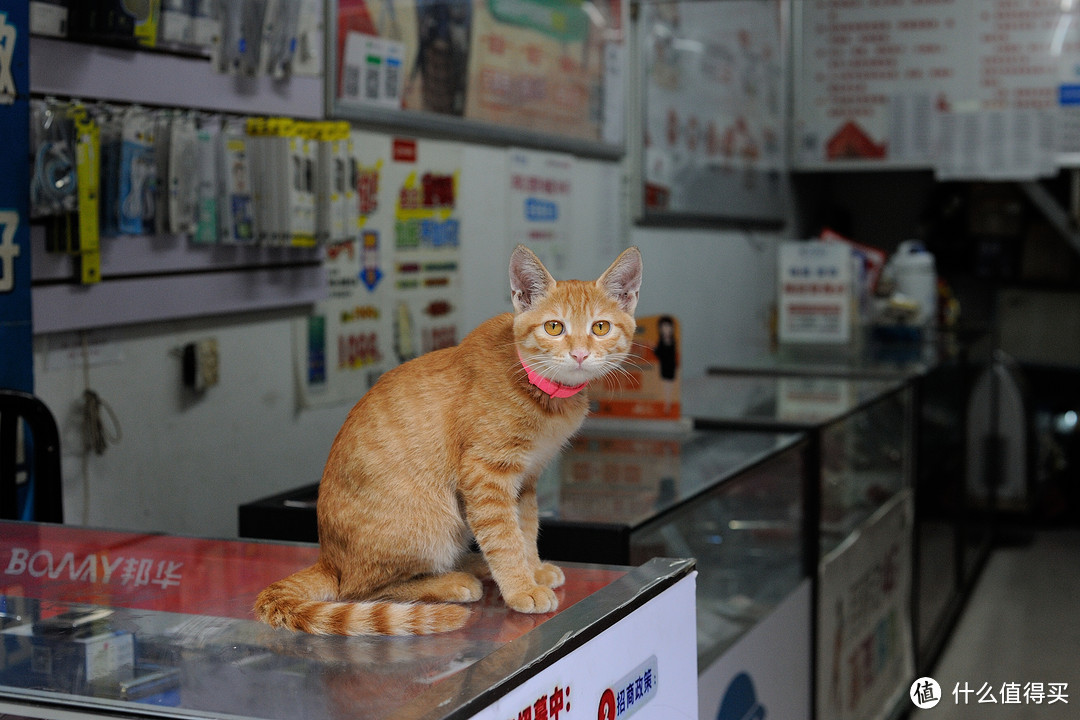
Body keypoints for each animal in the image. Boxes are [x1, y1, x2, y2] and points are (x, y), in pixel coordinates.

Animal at [254, 246, 639, 634]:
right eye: (554, 327)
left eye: (601, 327)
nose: (579, 354)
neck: (543, 393)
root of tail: (328, 560)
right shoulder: (485, 475)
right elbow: (504, 537)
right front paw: (521, 588)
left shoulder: (526, 480)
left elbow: (525, 529)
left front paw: (532, 570)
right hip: (432, 524)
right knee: (363, 589)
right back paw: (452, 581)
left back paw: (474, 565)